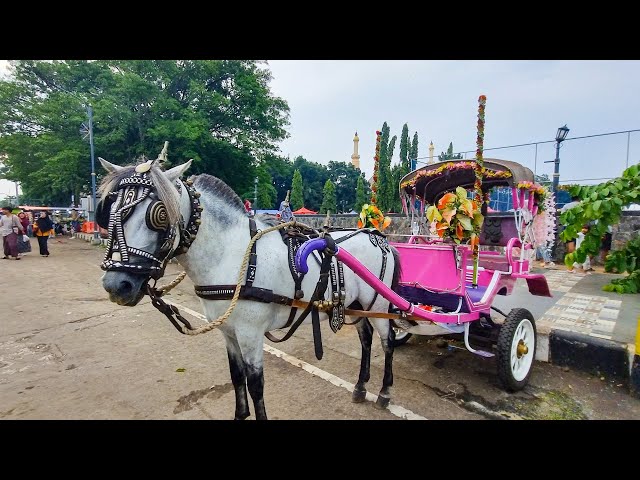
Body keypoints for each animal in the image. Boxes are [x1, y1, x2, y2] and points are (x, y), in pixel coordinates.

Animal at [97, 158, 400, 420]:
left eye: (159, 214)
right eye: (111, 211)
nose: (116, 285)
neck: (232, 256)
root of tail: (378, 237)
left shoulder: (250, 334)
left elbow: (256, 385)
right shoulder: (228, 332)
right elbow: (236, 376)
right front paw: (239, 414)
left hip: (379, 305)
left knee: (387, 341)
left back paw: (384, 392)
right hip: (357, 305)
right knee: (366, 338)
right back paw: (360, 387)